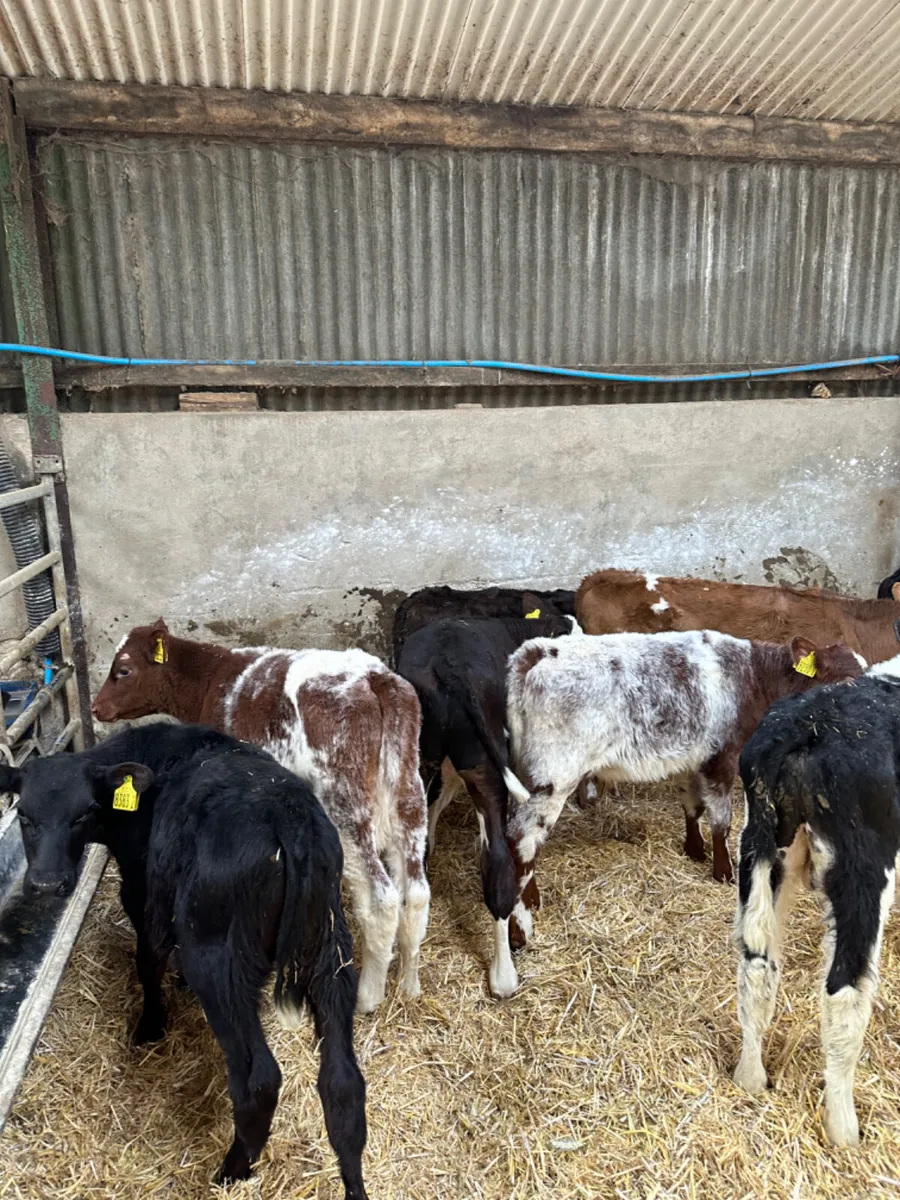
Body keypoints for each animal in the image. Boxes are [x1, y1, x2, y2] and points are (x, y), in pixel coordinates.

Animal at [2, 722, 368, 1195]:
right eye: (24, 816)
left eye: (83, 813)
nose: (47, 883)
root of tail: (285, 815)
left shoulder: (142, 893)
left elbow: (148, 960)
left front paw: (150, 1025)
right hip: (330, 954)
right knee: (343, 1084)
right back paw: (353, 1185)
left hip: (217, 962)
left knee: (260, 1079)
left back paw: (231, 1172)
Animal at [91, 620, 429, 1014]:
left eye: (123, 671)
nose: (96, 707)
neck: (211, 680)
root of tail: (374, 677)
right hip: (409, 797)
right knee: (416, 892)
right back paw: (409, 984)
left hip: (346, 804)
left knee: (383, 898)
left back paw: (368, 996)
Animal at [395, 606, 578, 997]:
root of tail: (448, 665)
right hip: (487, 767)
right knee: (497, 866)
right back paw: (503, 976)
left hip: (421, 758)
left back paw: (408, 975)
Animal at [494, 630, 863, 998]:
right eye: (845, 681)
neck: (754, 676)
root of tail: (538, 650)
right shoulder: (722, 757)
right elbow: (721, 820)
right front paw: (723, 871)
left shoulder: (692, 756)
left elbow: (692, 805)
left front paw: (694, 849)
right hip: (553, 777)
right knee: (520, 842)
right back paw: (518, 932)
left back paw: (533, 898)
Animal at [735, 659, 900, 1147]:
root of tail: (807, 726)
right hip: (864, 871)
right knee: (844, 990)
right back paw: (843, 1129)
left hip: (764, 848)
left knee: (757, 965)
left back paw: (750, 1078)